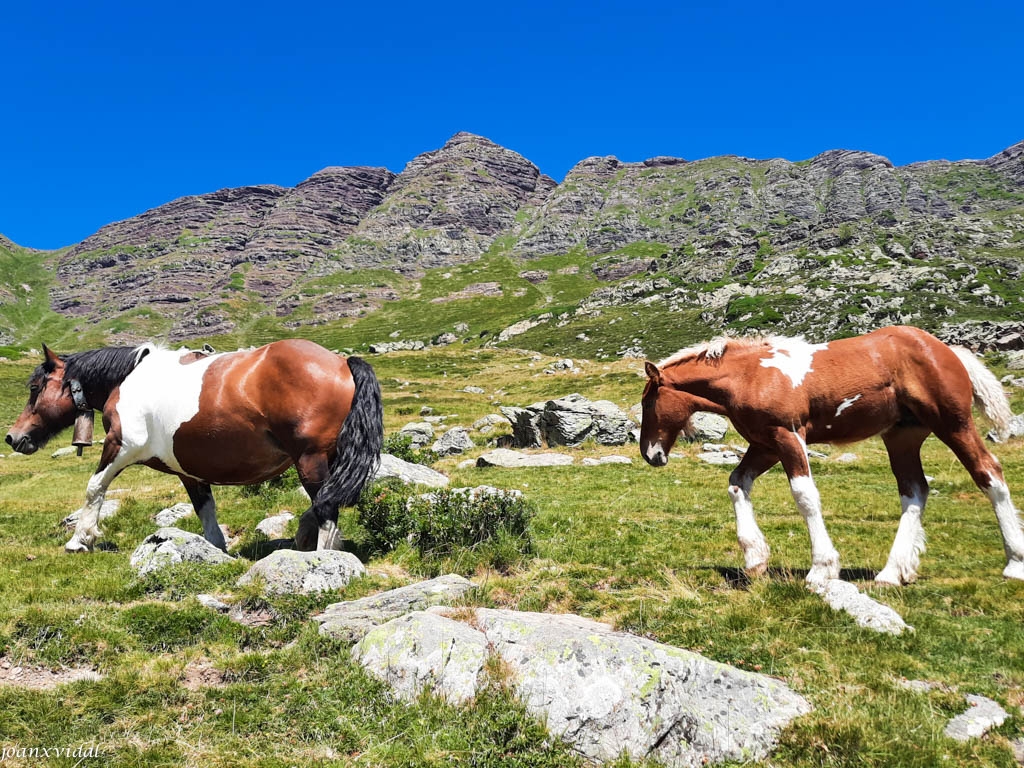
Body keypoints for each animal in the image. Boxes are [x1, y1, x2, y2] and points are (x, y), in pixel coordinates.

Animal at [6, 342, 382, 552]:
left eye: (36, 388)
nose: (13, 437)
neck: (128, 381)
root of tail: (342, 362)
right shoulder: (189, 471)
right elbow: (205, 509)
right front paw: (215, 549)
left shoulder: (121, 446)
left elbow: (94, 487)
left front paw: (80, 540)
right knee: (326, 501)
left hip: (309, 460)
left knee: (326, 508)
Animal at [638, 327, 1024, 585]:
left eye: (648, 402)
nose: (650, 454)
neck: (749, 376)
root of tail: (947, 350)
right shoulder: (765, 444)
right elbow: (737, 484)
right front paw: (755, 559)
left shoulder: (788, 436)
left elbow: (805, 496)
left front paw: (821, 569)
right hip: (902, 436)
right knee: (914, 490)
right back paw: (892, 573)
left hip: (953, 424)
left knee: (989, 474)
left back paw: (1014, 563)